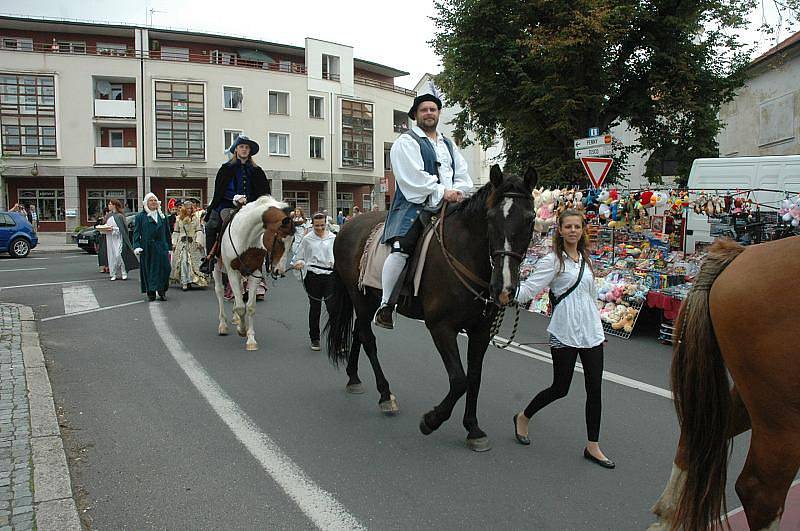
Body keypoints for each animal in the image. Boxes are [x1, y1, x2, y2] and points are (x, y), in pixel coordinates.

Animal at [212, 194, 294, 350]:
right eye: (279, 240)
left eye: (292, 242)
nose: (279, 271)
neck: (245, 236)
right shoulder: (231, 271)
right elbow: (240, 307)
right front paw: (242, 330)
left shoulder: (254, 272)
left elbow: (249, 307)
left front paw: (250, 339)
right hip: (217, 268)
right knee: (219, 291)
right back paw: (223, 325)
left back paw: (236, 319)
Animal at [324, 166, 536, 454]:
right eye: (491, 218)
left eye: (530, 218)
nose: (504, 287)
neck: (465, 254)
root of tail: (347, 225)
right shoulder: (441, 328)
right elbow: (459, 379)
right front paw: (431, 420)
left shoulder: (480, 331)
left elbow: (474, 377)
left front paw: (473, 429)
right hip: (360, 297)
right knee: (367, 338)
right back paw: (384, 395)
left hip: (367, 300)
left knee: (358, 333)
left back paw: (354, 378)